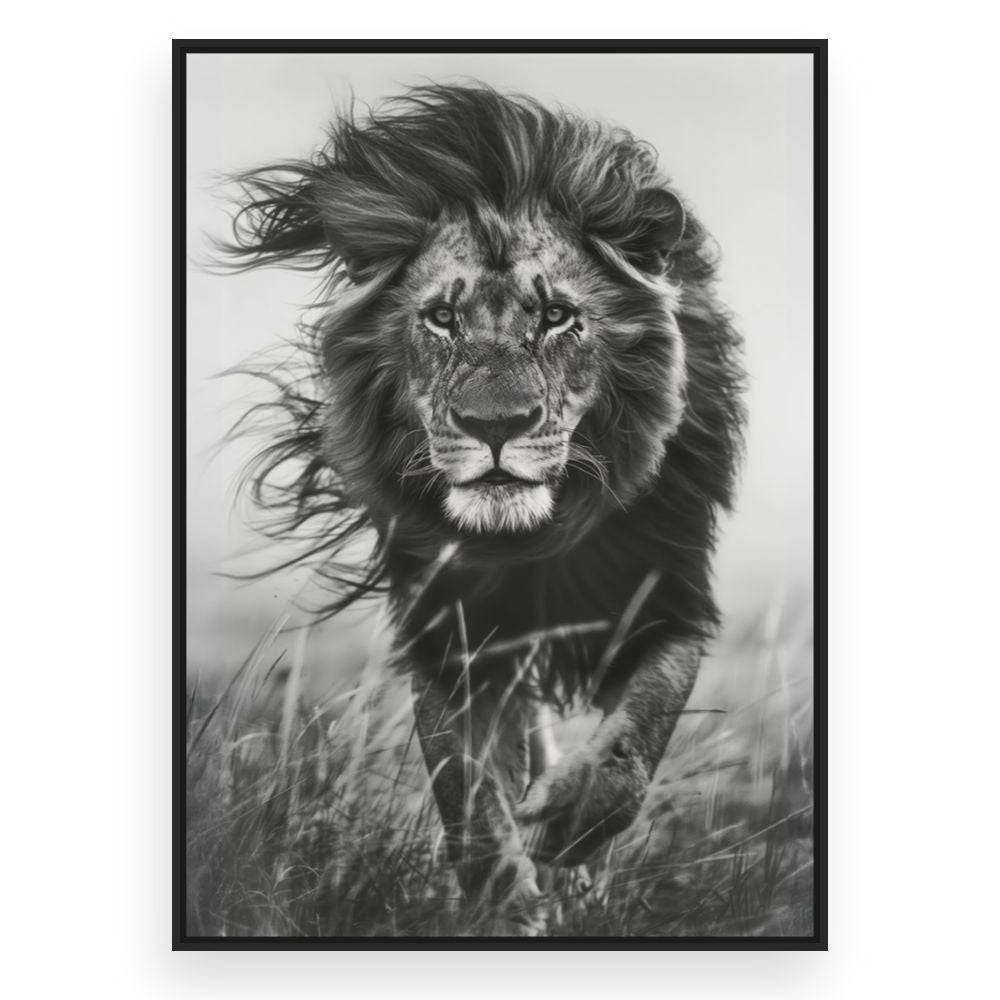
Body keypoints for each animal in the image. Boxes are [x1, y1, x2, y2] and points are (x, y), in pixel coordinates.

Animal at [218, 84, 745, 934]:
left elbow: (633, 747)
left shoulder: (666, 598)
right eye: (441, 317)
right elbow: (465, 788)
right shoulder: (448, 628)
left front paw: (565, 832)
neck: (528, 541)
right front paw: (504, 903)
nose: (494, 426)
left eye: (558, 316)